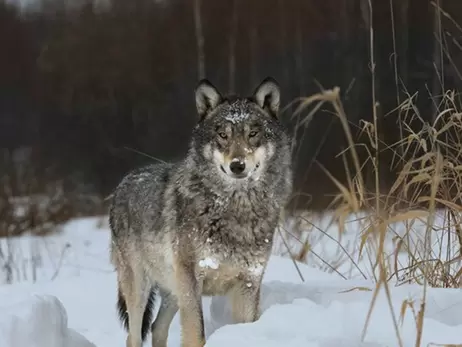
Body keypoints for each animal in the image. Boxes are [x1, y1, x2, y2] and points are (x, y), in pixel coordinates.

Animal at [108, 77, 292, 347]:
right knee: (134, 336)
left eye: (253, 134)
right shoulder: (192, 281)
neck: (236, 210)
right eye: (223, 135)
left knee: (157, 328)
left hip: (172, 290)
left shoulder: (249, 282)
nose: (237, 165)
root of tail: (122, 184)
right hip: (141, 289)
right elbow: (197, 334)